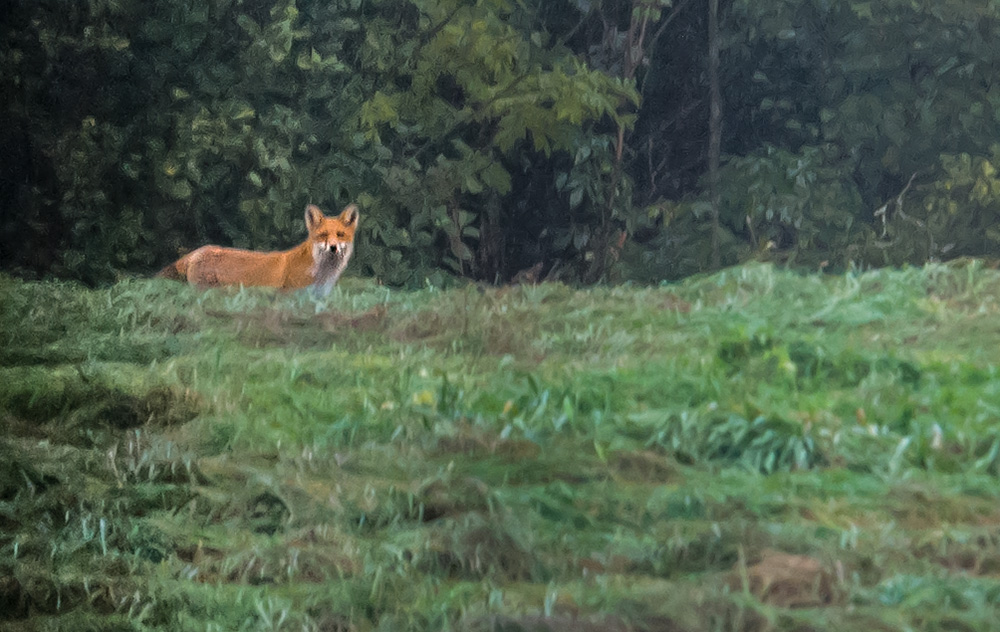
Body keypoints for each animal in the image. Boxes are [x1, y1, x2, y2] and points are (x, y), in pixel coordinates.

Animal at [156, 206, 360, 298]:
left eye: (340, 235)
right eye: (323, 235)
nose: (333, 247)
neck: (322, 275)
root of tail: (198, 251)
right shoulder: (289, 298)